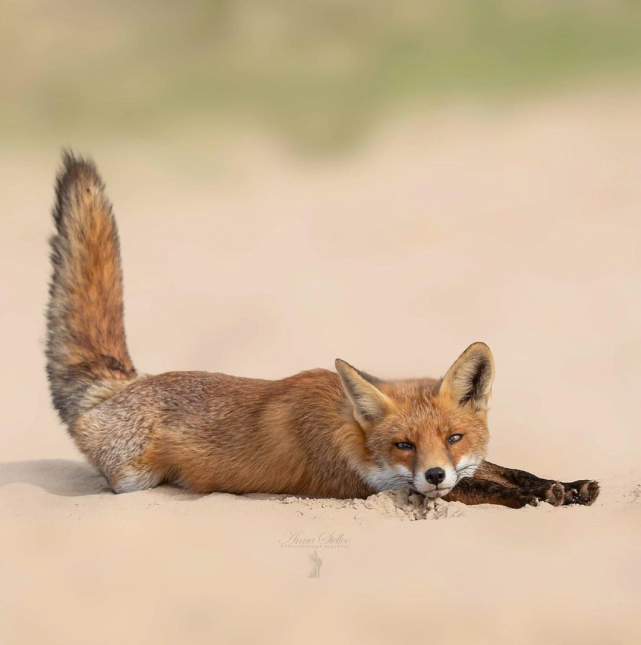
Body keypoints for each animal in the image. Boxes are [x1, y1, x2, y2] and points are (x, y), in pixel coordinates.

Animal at [46, 152, 600, 508]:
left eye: (454, 436)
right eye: (404, 445)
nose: (434, 471)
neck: (353, 431)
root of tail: (126, 385)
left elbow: (505, 469)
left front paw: (563, 486)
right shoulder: (386, 486)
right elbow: (482, 485)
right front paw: (536, 498)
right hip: (134, 478)